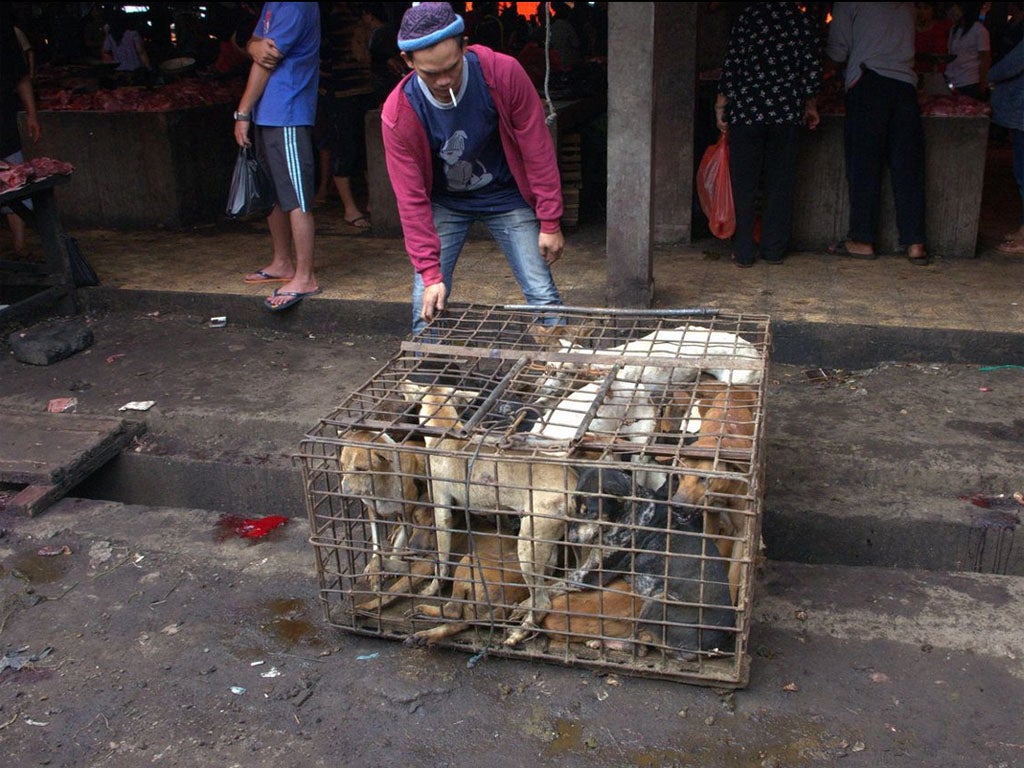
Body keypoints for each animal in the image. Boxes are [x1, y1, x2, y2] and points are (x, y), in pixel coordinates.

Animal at [339, 430, 428, 593]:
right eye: (342, 465)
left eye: (361, 469)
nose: (342, 495)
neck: (382, 485)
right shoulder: (373, 513)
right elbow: (376, 541)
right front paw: (373, 565)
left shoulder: (407, 517)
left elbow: (398, 545)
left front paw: (391, 564)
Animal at [397, 382, 577, 647]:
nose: (404, 384)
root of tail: (574, 482)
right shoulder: (499, 508)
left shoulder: (441, 507)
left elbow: (441, 558)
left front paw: (431, 589)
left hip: (528, 546)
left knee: (542, 603)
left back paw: (517, 633)